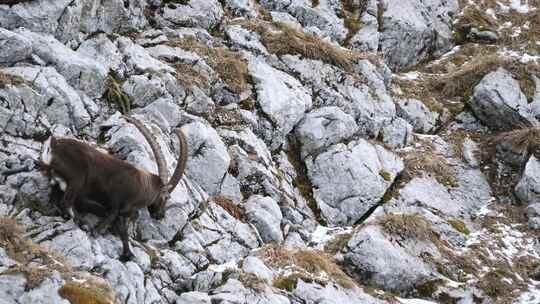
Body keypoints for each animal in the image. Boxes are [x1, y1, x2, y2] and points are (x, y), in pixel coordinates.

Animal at [39, 116, 188, 258]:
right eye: (166, 197)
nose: (161, 215)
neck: (141, 186)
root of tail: (53, 145)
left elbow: (122, 230)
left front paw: (128, 253)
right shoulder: (116, 205)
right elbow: (112, 223)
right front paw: (99, 233)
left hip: (56, 181)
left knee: (56, 200)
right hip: (77, 180)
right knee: (66, 202)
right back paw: (83, 223)